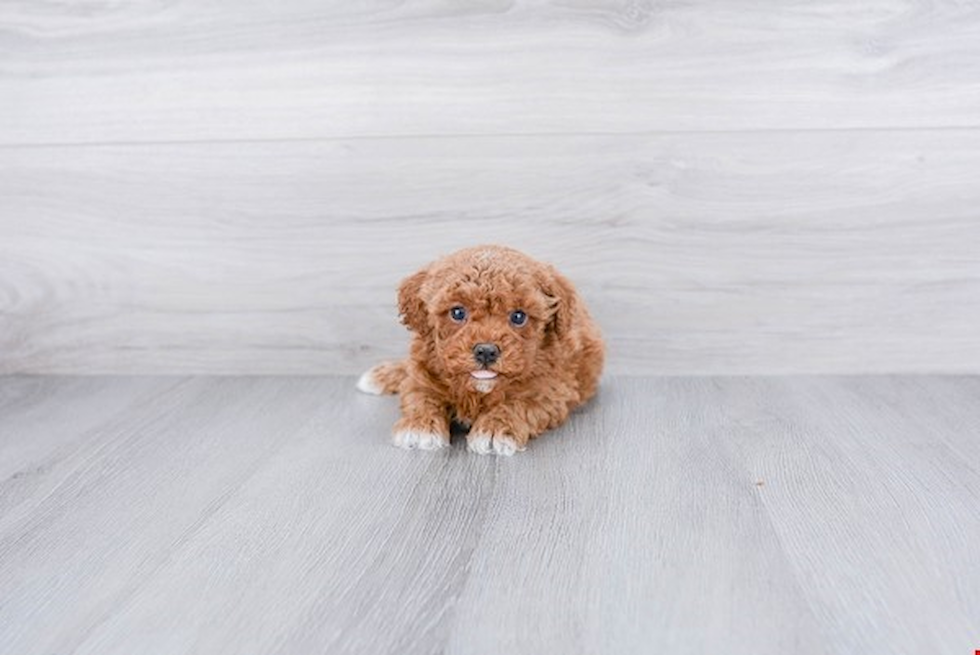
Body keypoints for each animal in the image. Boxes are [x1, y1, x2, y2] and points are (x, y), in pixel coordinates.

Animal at [358, 246, 604, 456]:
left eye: (518, 316)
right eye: (457, 312)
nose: (486, 351)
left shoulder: (550, 391)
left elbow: (516, 404)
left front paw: (494, 431)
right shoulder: (422, 374)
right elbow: (422, 396)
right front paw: (419, 427)